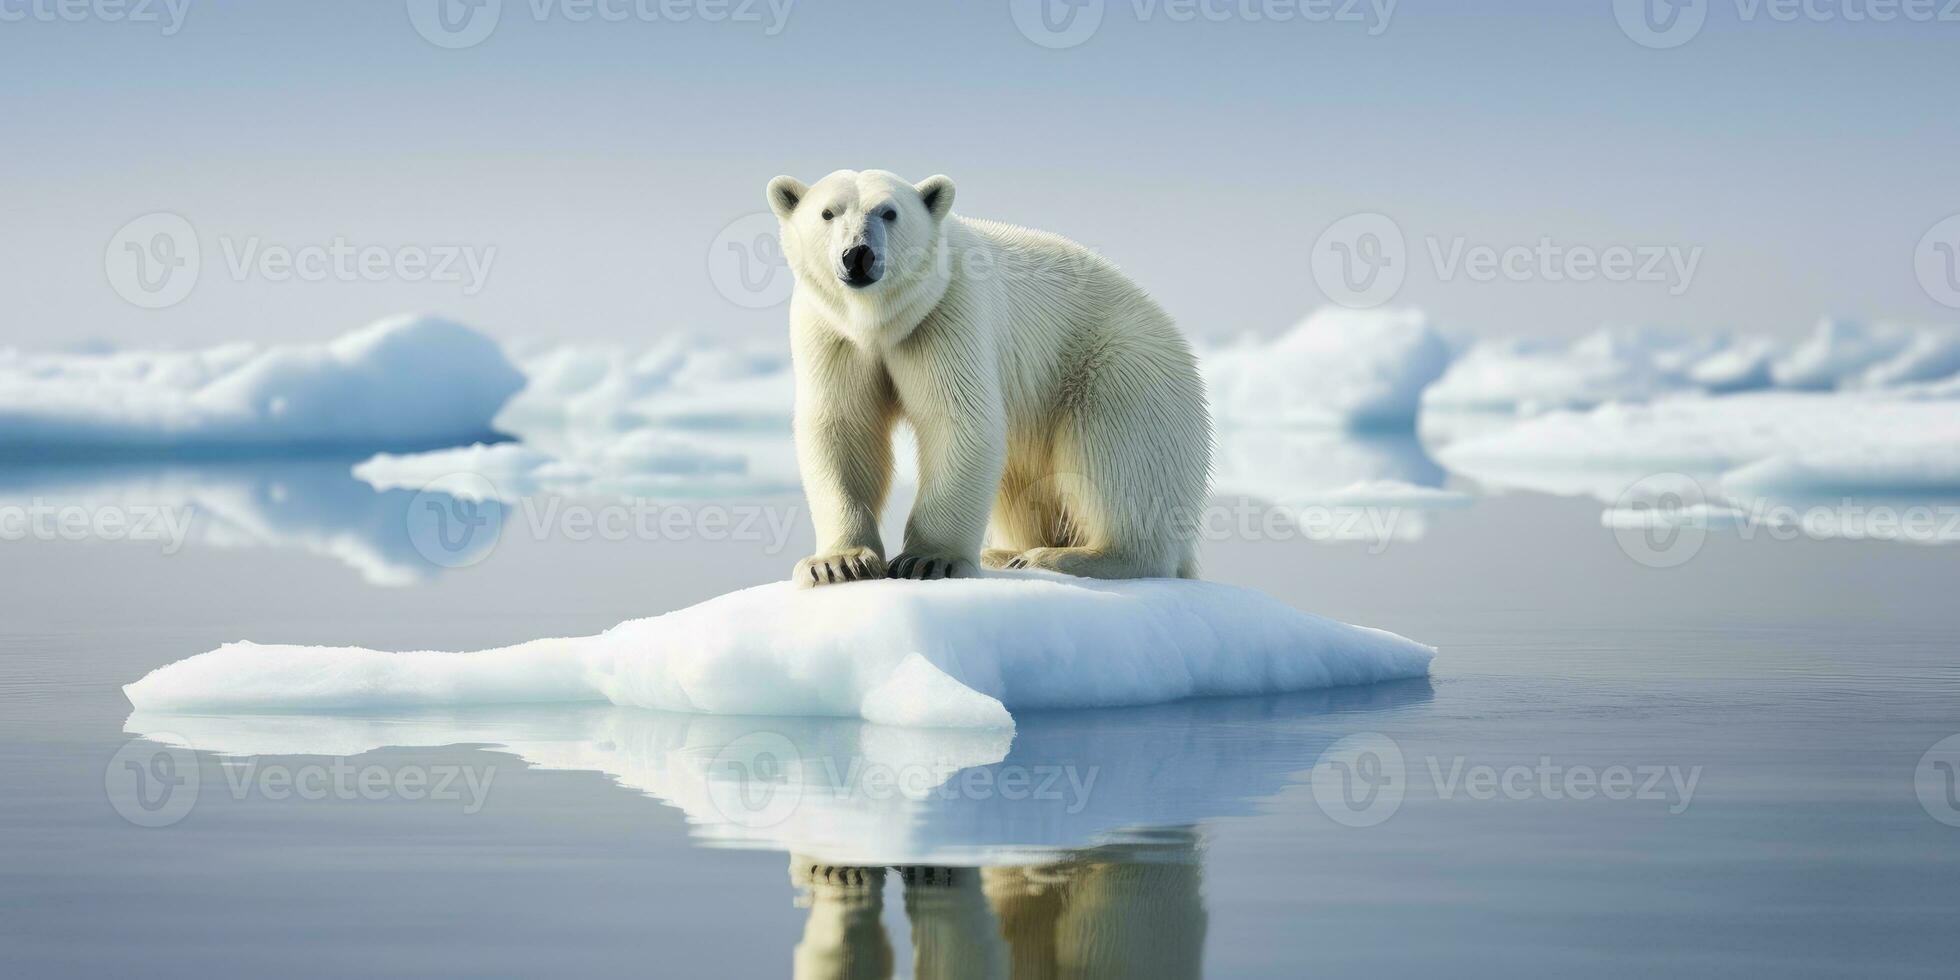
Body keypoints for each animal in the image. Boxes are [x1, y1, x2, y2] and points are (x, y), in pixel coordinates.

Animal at [768, 169, 1207, 584]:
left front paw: (929, 560)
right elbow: (842, 426)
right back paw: (1007, 551)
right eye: (828, 213)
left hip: (1120, 369)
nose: (857, 255)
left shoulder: (948, 312)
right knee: (1023, 481)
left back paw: (1065, 555)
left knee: (1116, 457)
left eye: (889, 212)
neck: (879, 323)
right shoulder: (830, 332)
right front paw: (836, 564)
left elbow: (958, 421)